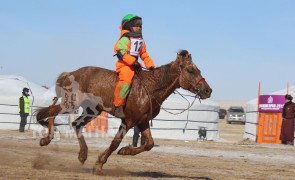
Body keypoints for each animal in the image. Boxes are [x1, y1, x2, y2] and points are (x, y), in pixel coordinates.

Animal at [35, 49, 213, 173]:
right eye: (191, 71)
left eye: (198, 70)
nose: (207, 90)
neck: (150, 89)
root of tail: (70, 74)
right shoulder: (128, 121)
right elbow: (115, 142)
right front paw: (99, 164)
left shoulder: (143, 122)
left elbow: (149, 144)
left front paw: (125, 151)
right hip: (71, 104)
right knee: (52, 111)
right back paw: (46, 139)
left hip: (92, 110)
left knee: (75, 123)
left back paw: (82, 154)